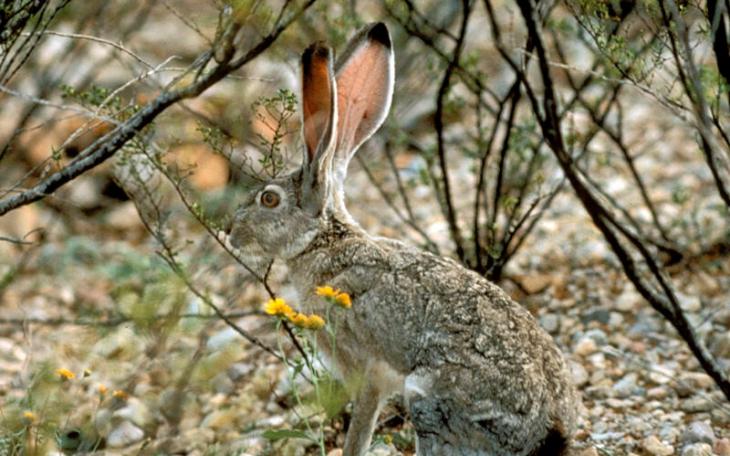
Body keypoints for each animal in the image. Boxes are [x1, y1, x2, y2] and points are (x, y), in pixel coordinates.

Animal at [228, 22, 579, 456]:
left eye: (269, 199)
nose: (231, 232)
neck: (325, 240)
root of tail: (548, 433)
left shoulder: (364, 371)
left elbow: (360, 425)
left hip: (429, 404)